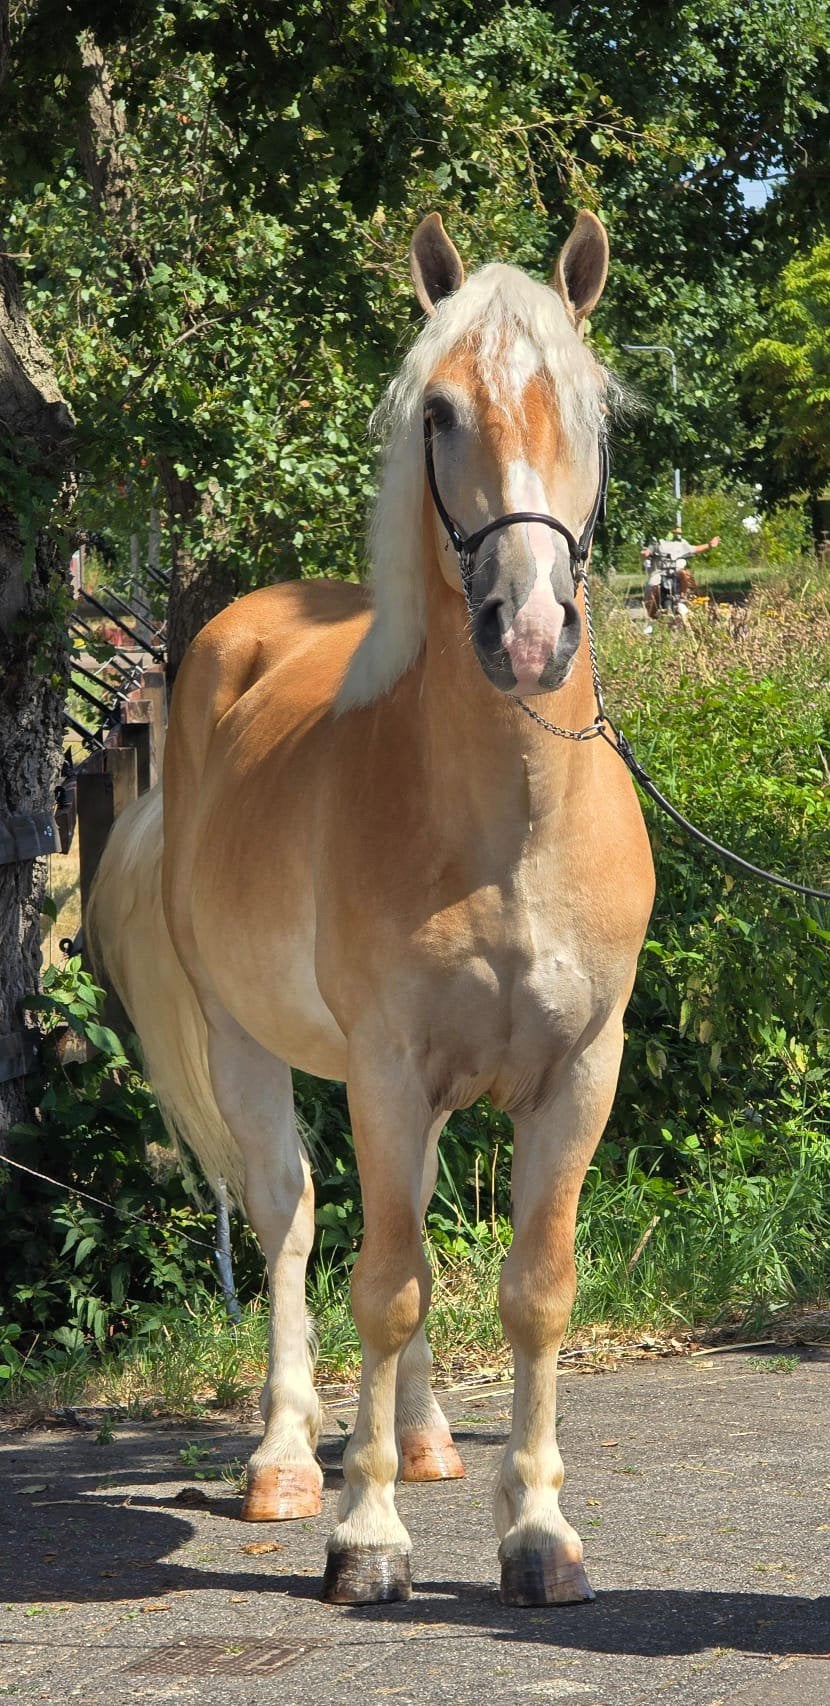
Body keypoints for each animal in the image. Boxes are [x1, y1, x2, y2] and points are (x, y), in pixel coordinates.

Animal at [89, 210, 655, 1609]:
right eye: (439, 410)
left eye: (589, 404)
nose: (528, 631)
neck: (508, 822)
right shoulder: (385, 1068)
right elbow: (384, 1286)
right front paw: (366, 1534)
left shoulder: (579, 1068)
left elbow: (532, 1290)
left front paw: (535, 1531)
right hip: (254, 1049)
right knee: (291, 1222)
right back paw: (291, 1459)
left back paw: (426, 1434)